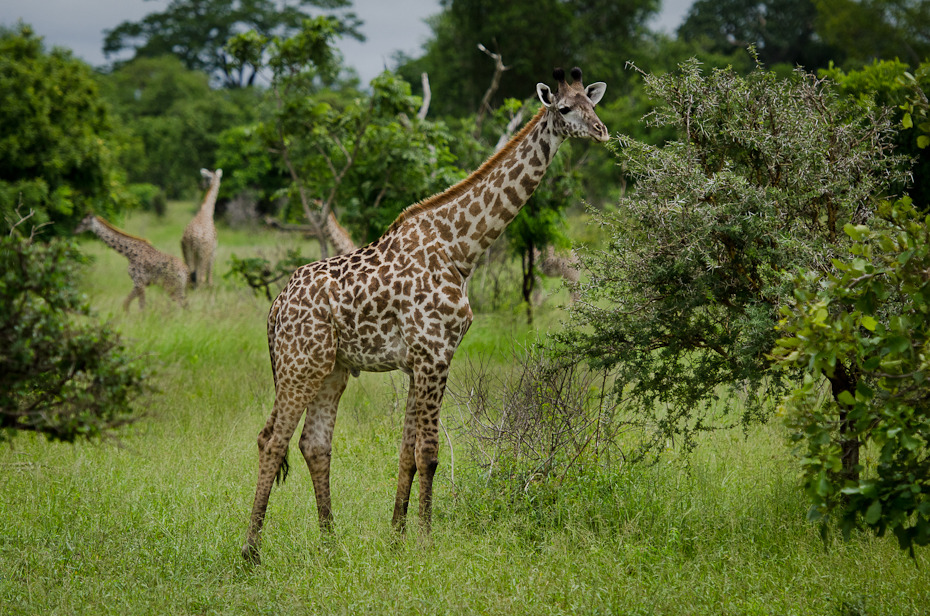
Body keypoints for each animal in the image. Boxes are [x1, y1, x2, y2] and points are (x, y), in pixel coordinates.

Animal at [241, 67, 608, 564]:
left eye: (592, 104)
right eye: (566, 109)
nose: (602, 132)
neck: (460, 249)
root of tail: (276, 307)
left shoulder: (419, 360)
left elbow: (406, 453)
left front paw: (397, 536)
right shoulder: (435, 354)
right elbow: (430, 453)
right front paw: (426, 539)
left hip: (332, 370)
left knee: (313, 444)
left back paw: (331, 544)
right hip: (301, 363)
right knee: (272, 440)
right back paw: (251, 553)